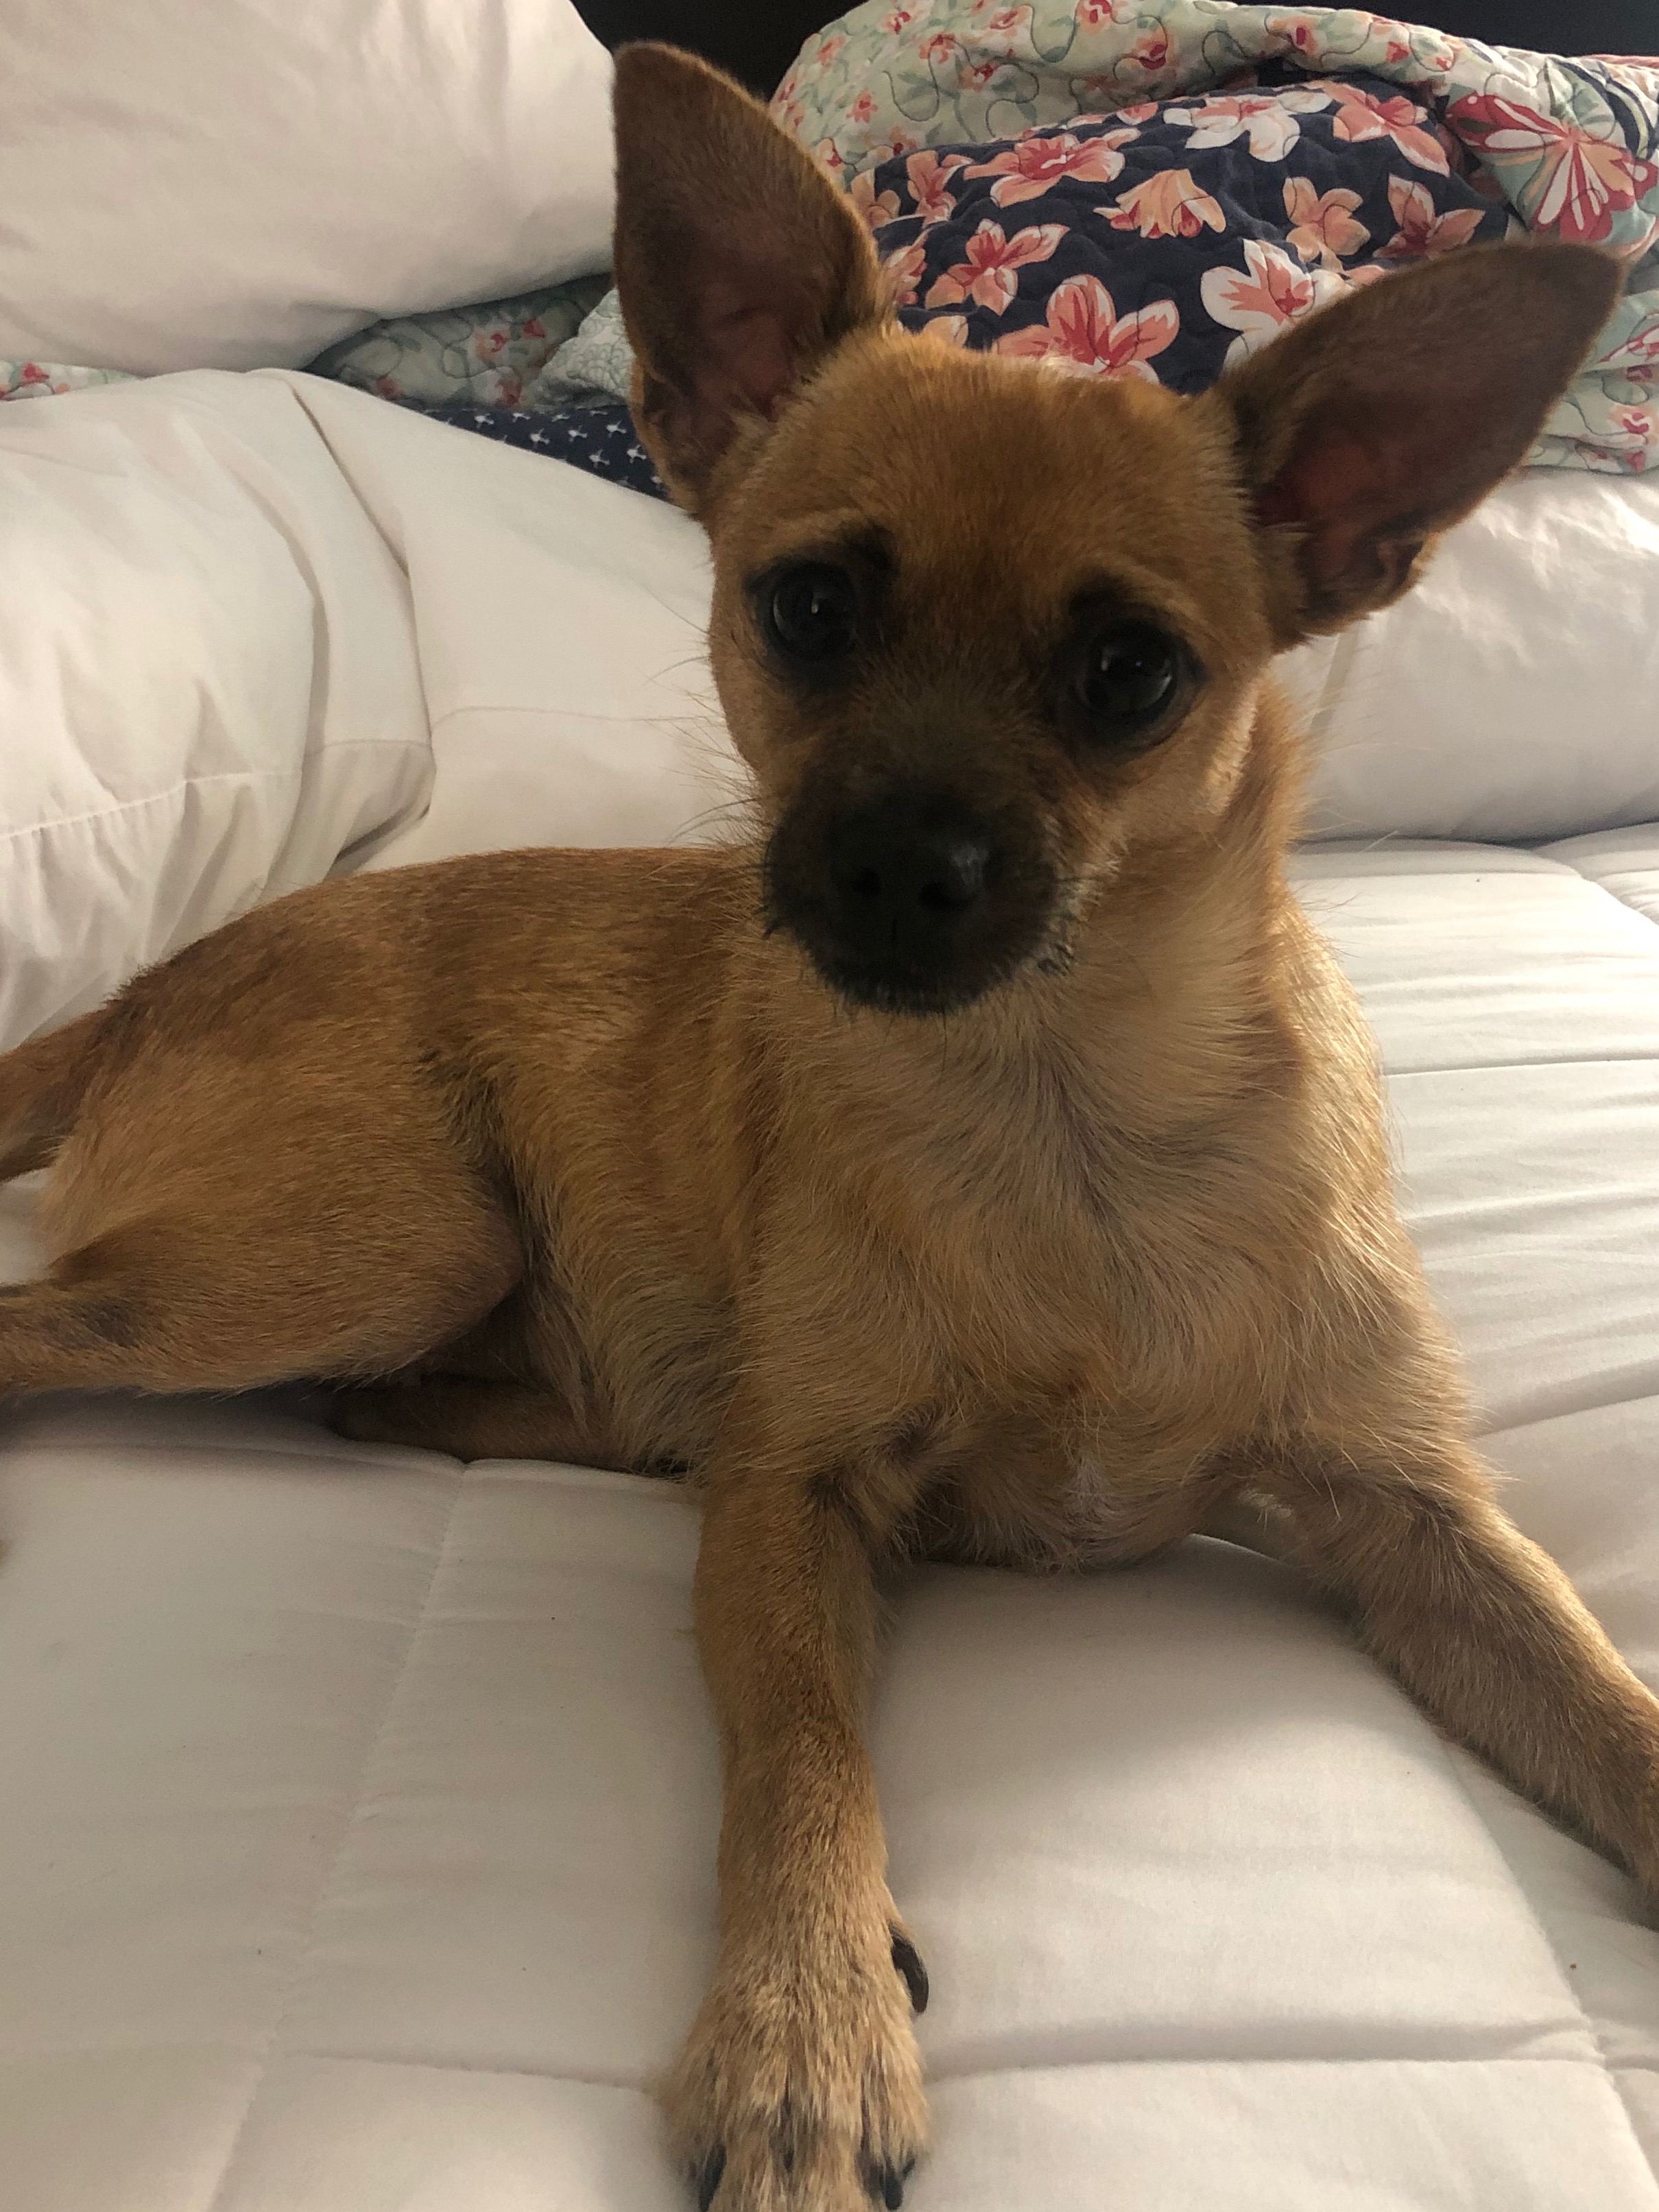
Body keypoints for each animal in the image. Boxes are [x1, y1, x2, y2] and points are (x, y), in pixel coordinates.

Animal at [0, 41, 1645, 2212]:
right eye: (803, 609)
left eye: (1131, 673)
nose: (889, 866)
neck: (1061, 1127)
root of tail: (141, 987)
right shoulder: (797, 1510)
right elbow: (800, 1761)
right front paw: (805, 2028)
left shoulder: (1416, 1515)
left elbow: (1609, 1712)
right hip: (383, 1237)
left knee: (404, 1403)